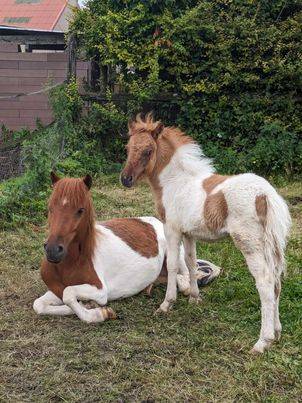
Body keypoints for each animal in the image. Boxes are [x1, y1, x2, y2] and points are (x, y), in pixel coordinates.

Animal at [34, 174, 221, 326]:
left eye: (80, 210)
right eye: (50, 208)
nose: (53, 250)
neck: (71, 263)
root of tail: (155, 221)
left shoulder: (99, 290)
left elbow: (69, 294)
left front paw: (99, 313)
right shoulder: (56, 289)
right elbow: (40, 304)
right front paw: (89, 305)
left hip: (176, 254)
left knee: (187, 275)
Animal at [121, 113, 292, 354]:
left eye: (148, 150)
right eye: (128, 148)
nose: (125, 179)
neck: (175, 183)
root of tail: (264, 194)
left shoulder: (172, 229)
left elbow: (173, 265)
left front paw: (166, 304)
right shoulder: (189, 233)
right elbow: (191, 262)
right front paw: (194, 298)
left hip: (250, 245)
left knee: (266, 283)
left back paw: (262, 342)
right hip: (272, 246)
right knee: (276, 282)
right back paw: (276, 332)